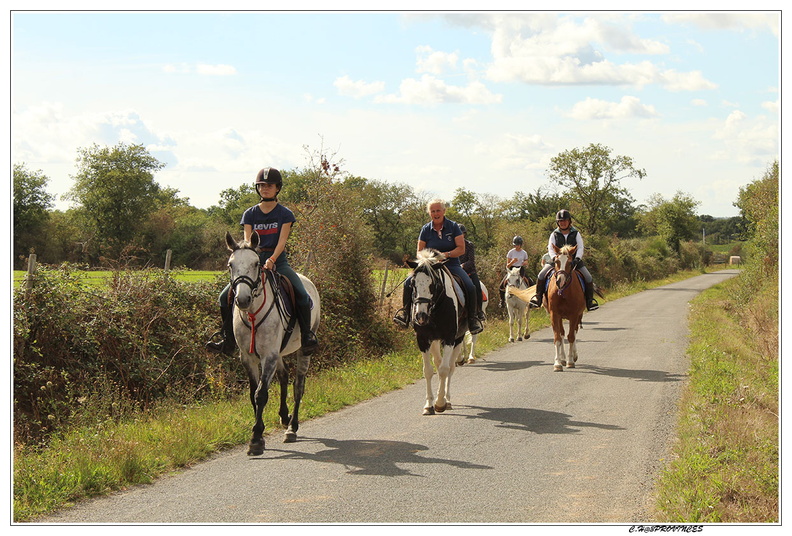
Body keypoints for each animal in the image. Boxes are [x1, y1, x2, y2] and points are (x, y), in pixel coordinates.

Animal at [224, 231, 321, 455]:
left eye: (256, 264)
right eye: (231, 265)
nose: (242, 299)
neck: (252, 313)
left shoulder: (268, 355)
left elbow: (261, 394)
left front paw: (256, 439)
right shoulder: (249, 357)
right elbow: (253, 393)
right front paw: (258, 432)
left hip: (303, 350)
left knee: (298, 385)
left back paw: (292, 427)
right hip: (279, 352)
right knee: (284, 377)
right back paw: (285, 417)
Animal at [406, 248, 467, 415]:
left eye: (433, 284)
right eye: (412, 284)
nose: (420, 316)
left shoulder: (450, 338)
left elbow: (445, 370)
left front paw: (440, 403)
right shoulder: (423, 339)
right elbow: (428, 370)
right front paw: (428, 405)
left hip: (458, 339)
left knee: (450, 367)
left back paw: (448, 400)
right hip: (434, 341)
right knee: (438, 362)